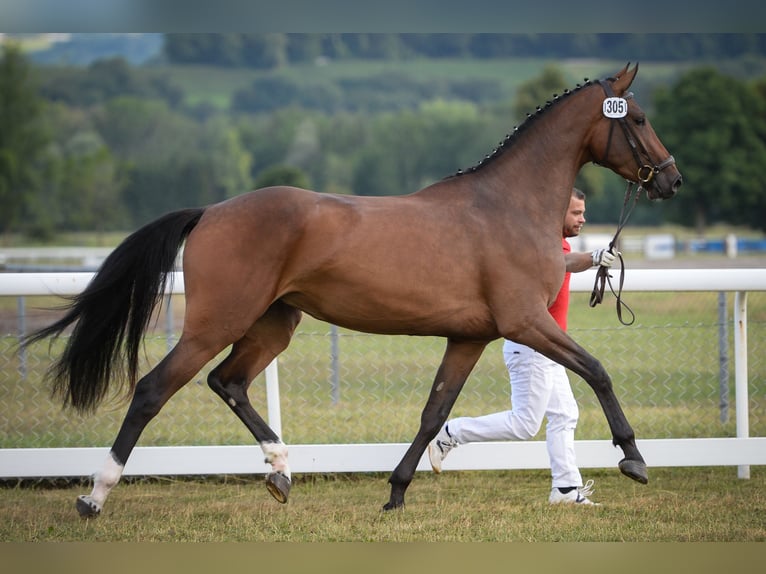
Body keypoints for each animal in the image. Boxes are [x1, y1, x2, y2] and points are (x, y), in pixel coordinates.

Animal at [25, 63, 684, 516]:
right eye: (639, 120)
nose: (672, 180)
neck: (508, 207)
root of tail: (211, 211)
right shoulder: (526, 322)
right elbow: (597, 369)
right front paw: (633, 458)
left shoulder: (469, 337)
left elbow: (434, 412)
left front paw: (395, 493)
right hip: (216, 322)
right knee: (152, 390)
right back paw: (95, 497)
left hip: (273, 324)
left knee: (228, 381)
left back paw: (280, 471)